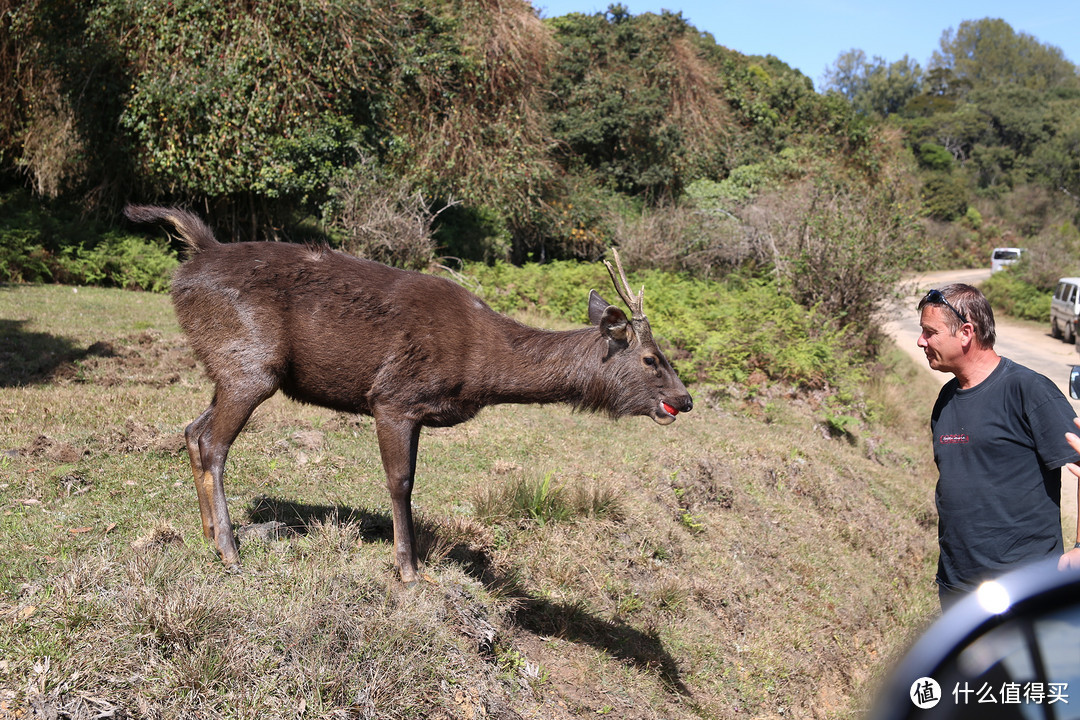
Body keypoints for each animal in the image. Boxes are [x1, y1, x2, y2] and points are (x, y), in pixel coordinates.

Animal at [124, 204, 691, 587]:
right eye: (651, 358)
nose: (685, 400)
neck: (480, 369)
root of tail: (195, 256)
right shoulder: (394, 397)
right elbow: (401, 483)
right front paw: (409, 571)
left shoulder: (416, 411)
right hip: (251, 365)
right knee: (215, 444)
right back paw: (229, 550)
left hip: (227, 367)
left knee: (192, 430)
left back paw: (207, 534)